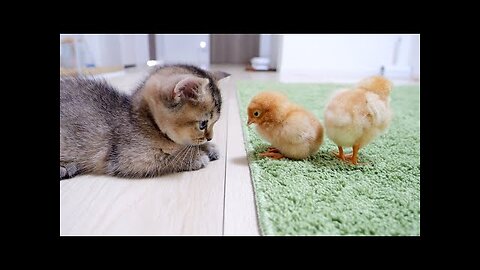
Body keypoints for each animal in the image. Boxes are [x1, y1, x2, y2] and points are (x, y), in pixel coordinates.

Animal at [59, 64, 229, 180]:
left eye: (214, 122)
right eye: (203, 124)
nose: (210, 137)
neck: (146, 121)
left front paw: (208, 147)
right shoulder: (131, 159)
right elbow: (168, 157)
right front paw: (195, 157)